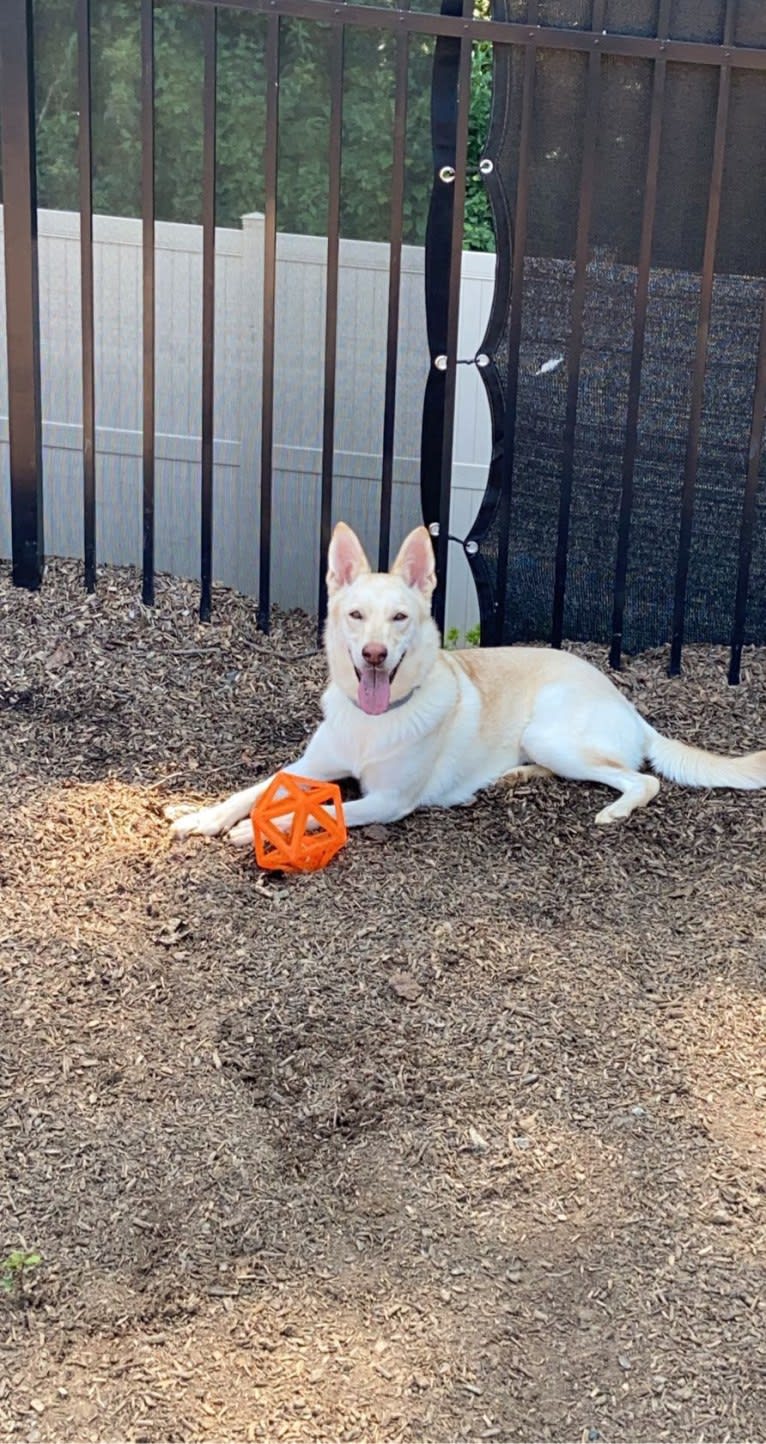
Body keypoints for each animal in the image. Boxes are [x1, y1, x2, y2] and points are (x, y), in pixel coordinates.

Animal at [169, 522, 763, 843]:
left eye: (400, 618)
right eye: (356, 615)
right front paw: (205, 815)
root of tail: (629, 706)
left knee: (641, 781)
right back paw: (513, 777)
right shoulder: (310, 766)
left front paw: (253, 830)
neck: (374, 722)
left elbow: (321, 812)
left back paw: (614, 809)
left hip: (554, 734)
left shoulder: (387, 801)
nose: (374, 654)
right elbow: (257, 789)